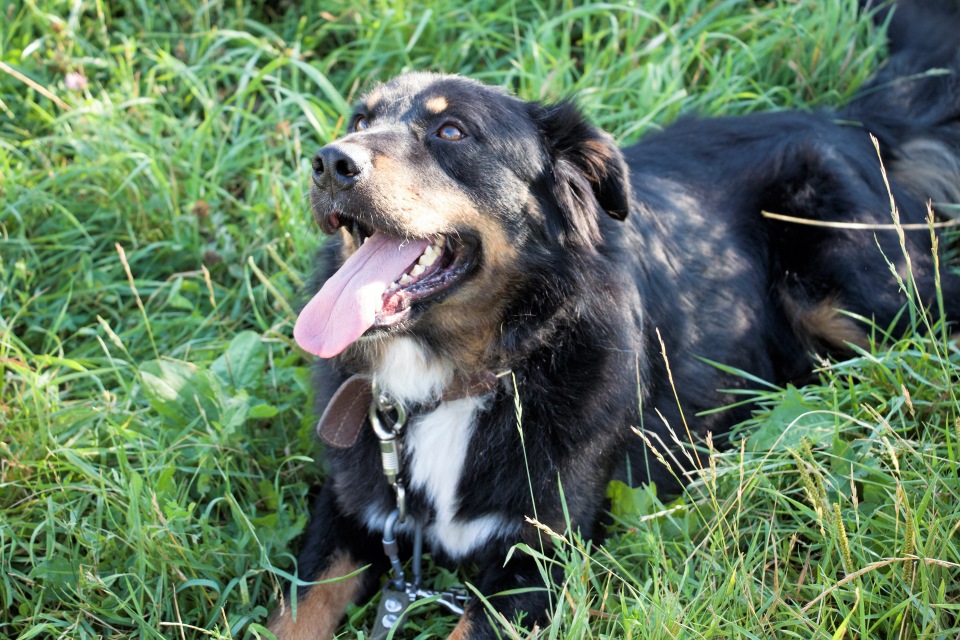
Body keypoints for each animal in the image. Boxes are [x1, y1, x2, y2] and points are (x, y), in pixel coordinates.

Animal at [268, 2, 960, 636]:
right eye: (360, 119)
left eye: (452, 133)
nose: (329, 163)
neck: (474, 374)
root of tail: (851, 123)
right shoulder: (352, 510)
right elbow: (295, 611)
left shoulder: (537, 554)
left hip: (855, 294)